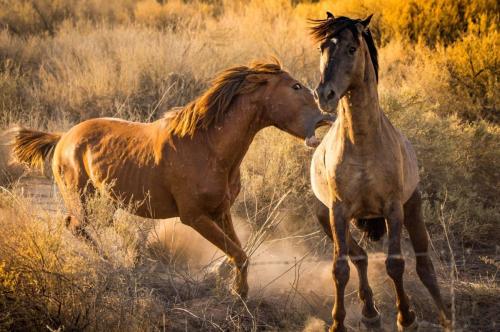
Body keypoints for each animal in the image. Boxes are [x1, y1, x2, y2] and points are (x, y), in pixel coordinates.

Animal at [11, 61, 332, 296]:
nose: (325, 118)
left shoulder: (221, 210)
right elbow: (238, 254)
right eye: (295, 86)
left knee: (90, 226)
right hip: (84, 201)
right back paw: (109, 260)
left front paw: (232, 286)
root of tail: (63, 137)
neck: (208, 145)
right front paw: (238, 293)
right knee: (75, 225)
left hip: (105, 202)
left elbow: (237, 251)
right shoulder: (194, 217)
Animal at [308, 13, 450, 332]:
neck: (362, 143)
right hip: (325, 217)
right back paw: (370, 313)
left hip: (413, 208)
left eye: (351, 49)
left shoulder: (393, 208)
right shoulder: (338, 212)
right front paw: (338, 323)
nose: (324, 94)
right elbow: (340, 268)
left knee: (424, 264)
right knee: (359, 257)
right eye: (322, 47)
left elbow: (395, 264)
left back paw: (446, 316)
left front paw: (406, 318)